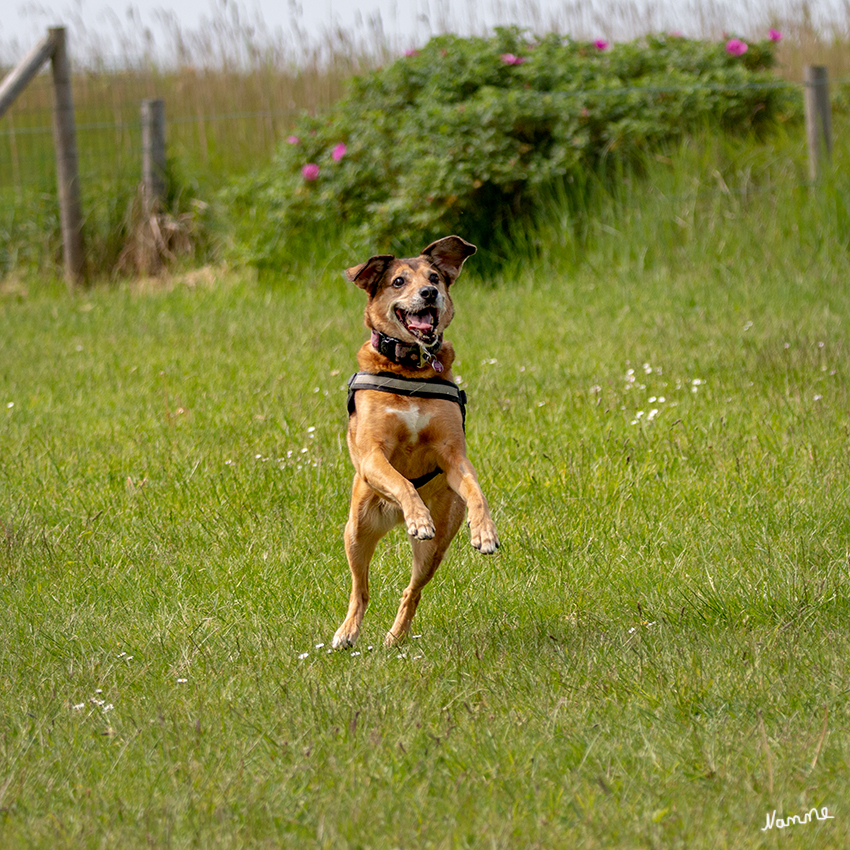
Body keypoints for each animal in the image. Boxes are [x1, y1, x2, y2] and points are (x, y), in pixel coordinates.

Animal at [332, 235, 496, 644]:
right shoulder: (373, 455)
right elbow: (402, 481)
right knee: (360, 589)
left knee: (412, 590)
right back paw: (347, 632)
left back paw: (395, 637)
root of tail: (390, 517)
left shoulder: (455, 456)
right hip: (356, 530)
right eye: (398, 281)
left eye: (435, 277)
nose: (429, 293)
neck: (410, 367)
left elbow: (476, 490)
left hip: (434, 550)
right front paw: (418, 518)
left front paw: (484, 530)